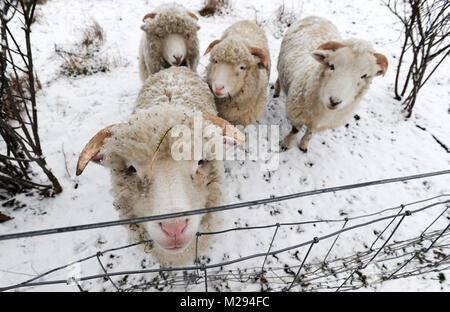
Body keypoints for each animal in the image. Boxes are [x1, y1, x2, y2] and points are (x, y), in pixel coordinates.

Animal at [276, 16, 388, 152]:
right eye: (331, 66)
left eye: (364, 75)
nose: (334, 101)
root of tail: (317, 17)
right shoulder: (297, 116)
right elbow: (294, 131)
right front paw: (287, 144)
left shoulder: (318, 123)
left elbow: (309, 133)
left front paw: (303, 145)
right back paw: (276, 91)